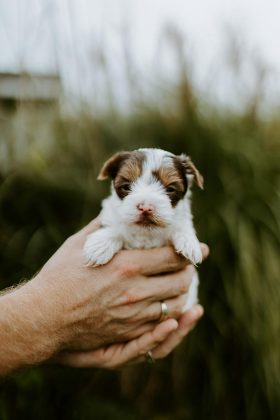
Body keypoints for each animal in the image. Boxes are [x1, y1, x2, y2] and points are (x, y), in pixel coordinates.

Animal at [83, 148, 203, 308]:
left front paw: (189, 243)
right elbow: (115, 228)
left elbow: (182, 226)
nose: (146, 208)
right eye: (126, 186)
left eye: (170, 189)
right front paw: (99, 246)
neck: (146, 234)